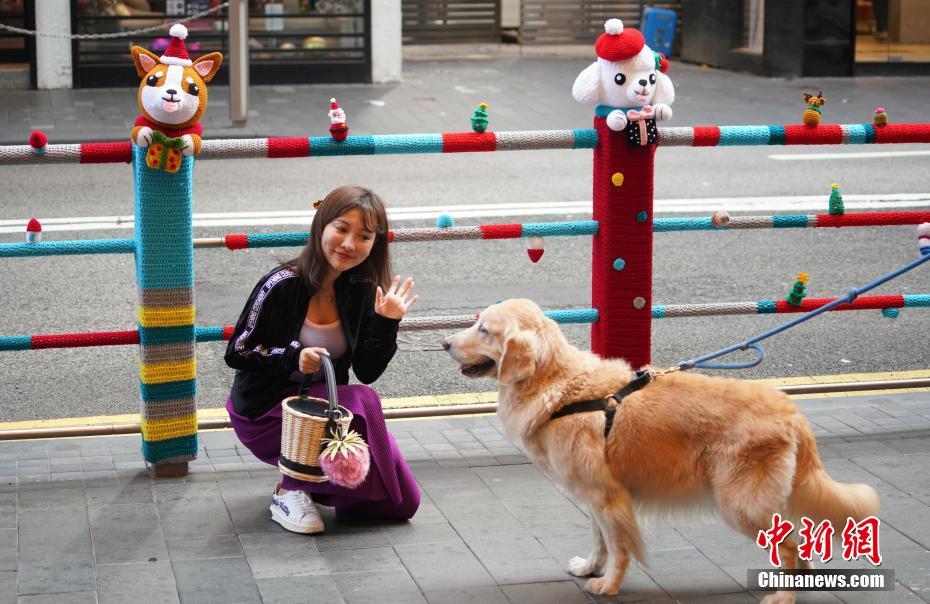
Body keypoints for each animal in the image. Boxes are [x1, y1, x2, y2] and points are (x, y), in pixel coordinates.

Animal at [442, 300, 876, 600]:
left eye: (484, 329)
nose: (444, 342)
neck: (560, 388)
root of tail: (792, 413)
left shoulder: (608, 497)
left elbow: (619, 546)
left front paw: (609, 585)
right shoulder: (594, 498)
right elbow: (600, 541)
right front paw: (590, 568)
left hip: (739, 504)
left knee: (786, 542)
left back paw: (783, 596)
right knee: (796, 540)